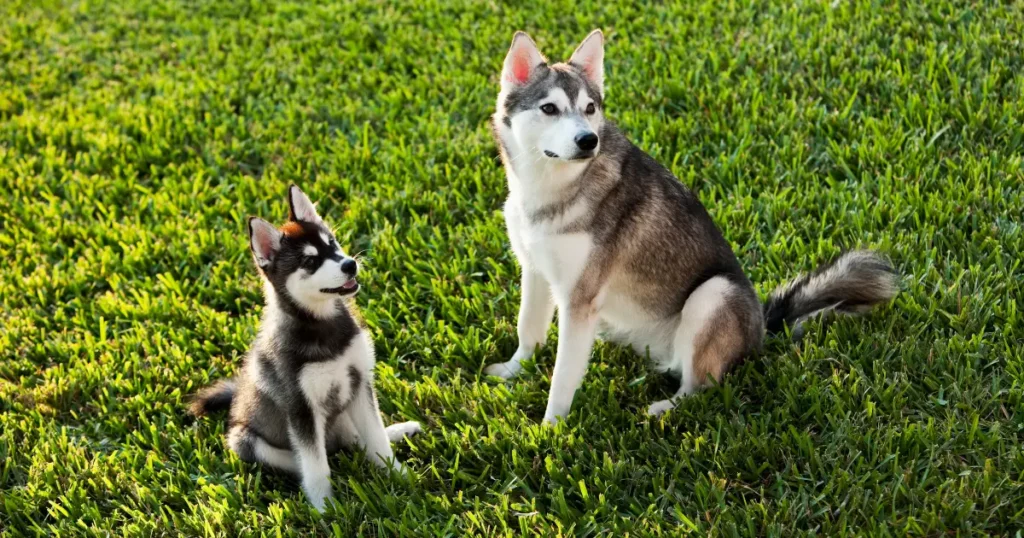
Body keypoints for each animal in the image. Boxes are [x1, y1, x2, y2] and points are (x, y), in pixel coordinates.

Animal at [190, 185, 417, 512]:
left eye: (332, 243)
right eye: (310, 262)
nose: (350, 264)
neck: (321, 325)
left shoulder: (359, 382)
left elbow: (375, 437)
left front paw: (397, 474)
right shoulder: (300, 407)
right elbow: (315, 464)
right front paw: (324, 508)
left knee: (353, 439)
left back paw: (396, 431)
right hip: (243, 439)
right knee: (311, 458)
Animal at [485, 31, 897, 422]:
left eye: (590, 108)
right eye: (549, 109)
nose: (588, 140)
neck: (551, 189)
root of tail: (762, 328)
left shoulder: (579, 299)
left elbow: (563, 374)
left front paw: (551, 427)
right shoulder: (535, 271)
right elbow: (528, 328)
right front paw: (514, 369)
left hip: (712, 295)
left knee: (702, 385)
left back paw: (665, 408)